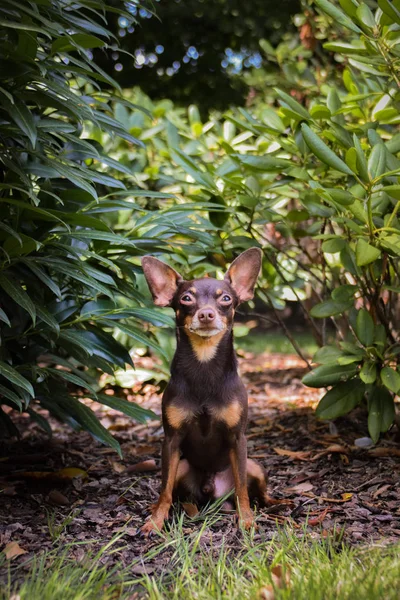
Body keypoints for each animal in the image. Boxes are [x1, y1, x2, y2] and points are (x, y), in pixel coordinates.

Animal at [140, 248, 276, 536]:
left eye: (226, 299)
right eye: (186, 298)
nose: (206, 314)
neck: (204, 366)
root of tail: (210, 487)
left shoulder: (237, 438)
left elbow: (242, 489)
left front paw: (246, 519)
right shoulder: (171, 440)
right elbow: (164, 490)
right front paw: (155, 521)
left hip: (254, 466)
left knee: (255, 489)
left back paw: (275, 503)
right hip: (181, 465)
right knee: (174, 491)